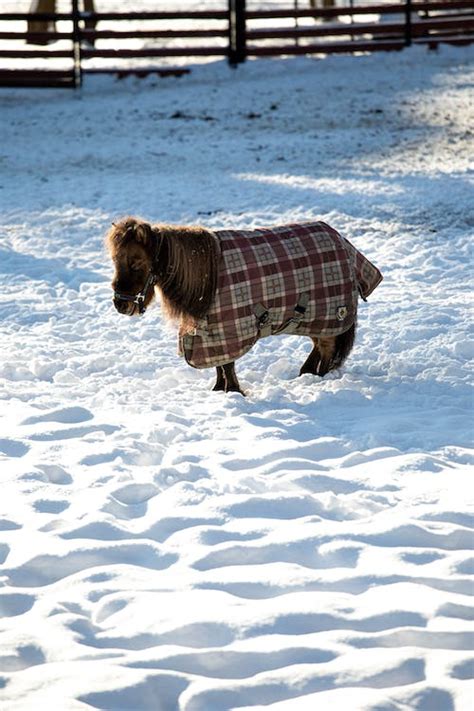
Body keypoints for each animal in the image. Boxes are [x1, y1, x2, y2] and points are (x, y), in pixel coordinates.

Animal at [106, 217, 382, 394]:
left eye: (136, 262)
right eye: (114, 260)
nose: (121, 304)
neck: (207, 276)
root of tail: (342, 241)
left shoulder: (227, 331)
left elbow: (227, 365)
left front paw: (233, 392)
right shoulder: (209, 332)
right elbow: (221, 365)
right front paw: (219, 391)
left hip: (331, 315)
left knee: (326, 349)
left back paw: (318, 379)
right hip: (315, 319)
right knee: (320, 347)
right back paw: (305, 374)